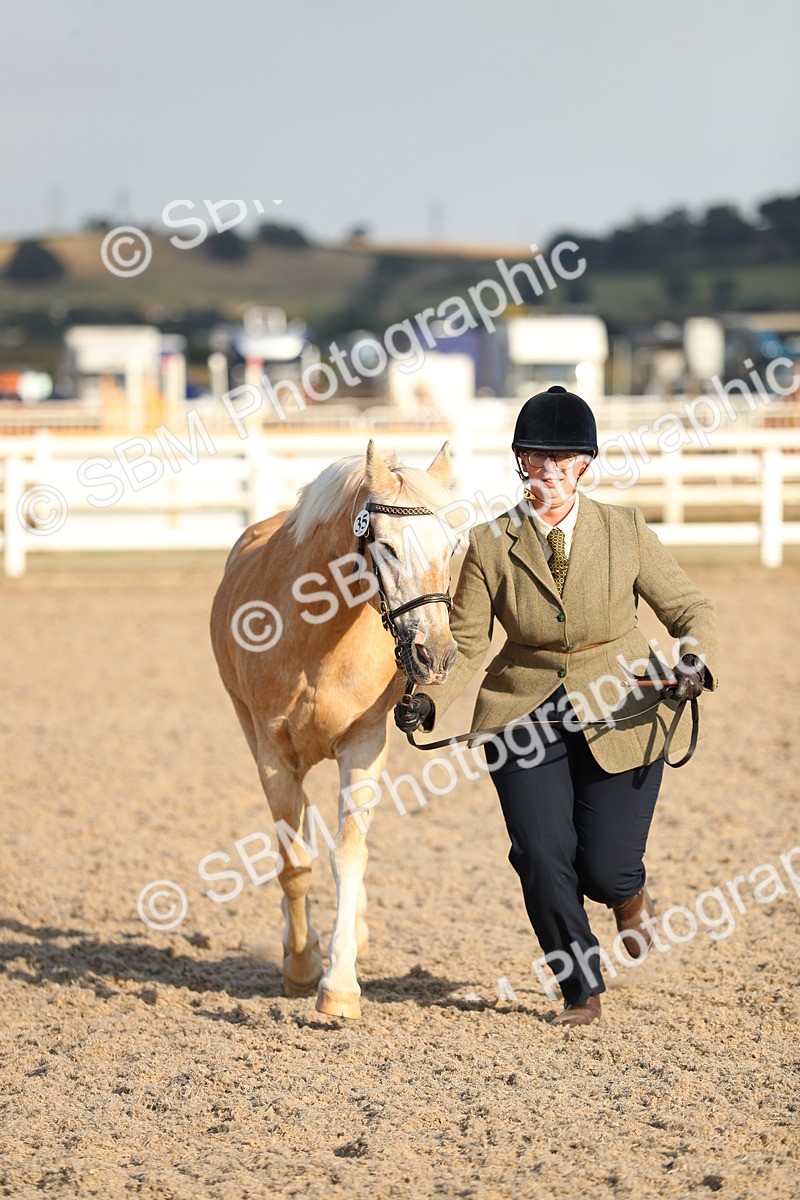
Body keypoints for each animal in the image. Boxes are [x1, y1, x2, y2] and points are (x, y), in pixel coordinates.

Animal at [210, 440, 459, 1019]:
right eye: (386, 547)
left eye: (452, 546)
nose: (435, 656)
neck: (316, 636)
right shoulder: (273, 754)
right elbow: (293, 864)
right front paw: (301, 967)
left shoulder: (364, 744)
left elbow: (348, 853)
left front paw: (340, 984)